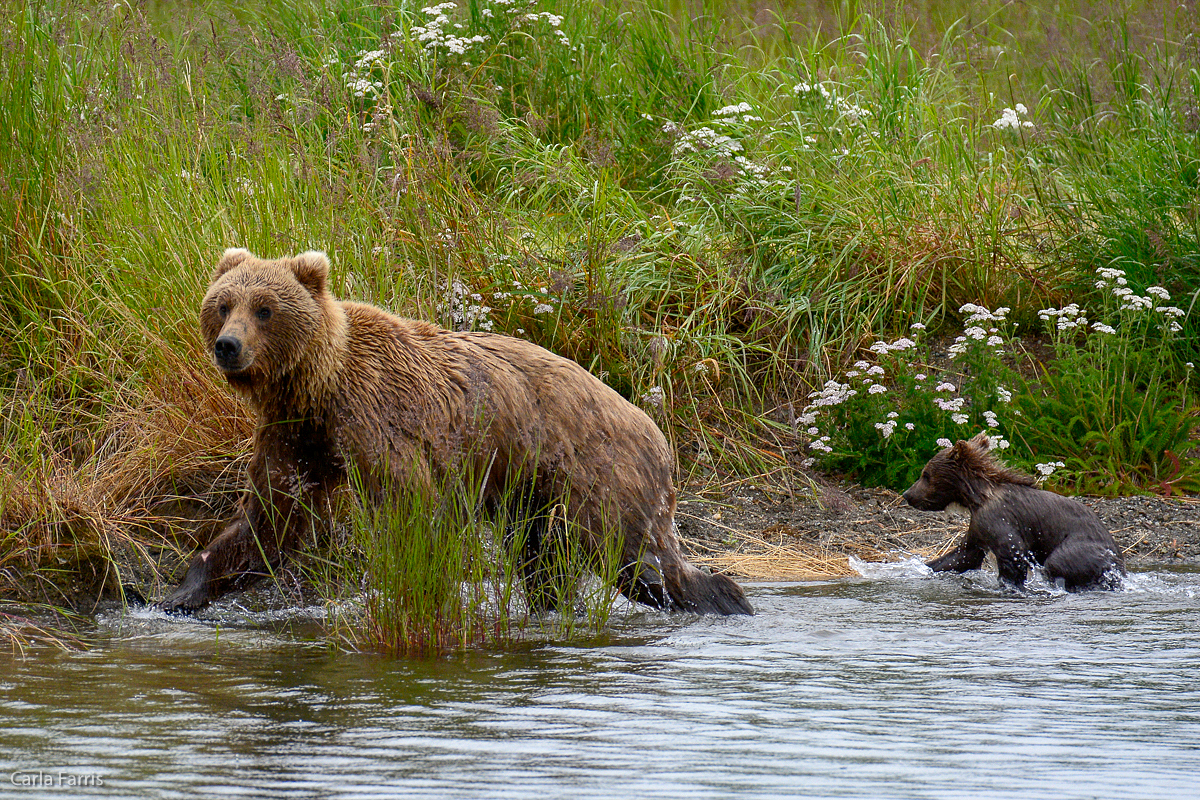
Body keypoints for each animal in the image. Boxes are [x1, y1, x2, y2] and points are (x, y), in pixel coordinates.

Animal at [162, 247, 748, 618]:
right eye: (222, 305)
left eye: (265, 309)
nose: (229, 345)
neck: (320, 386)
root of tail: (658, 434)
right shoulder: (295, 435)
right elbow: (270, 518)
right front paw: (183, 592)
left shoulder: (376, 418)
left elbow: (412, 507)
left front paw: (408, 589)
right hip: (531, 489)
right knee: (545, 557)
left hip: (589, 469)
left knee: (627, 554)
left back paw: (713, 594)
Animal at [907, 434, 1123, 592]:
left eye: (926, 475)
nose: (907, 494)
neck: (976, 498)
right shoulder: (978, 526)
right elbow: (963, 555)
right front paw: (922, 567)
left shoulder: (998, 519)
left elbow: (1012, 555)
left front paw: (1009, 586)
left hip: (1083, 546)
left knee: (1058, 562)